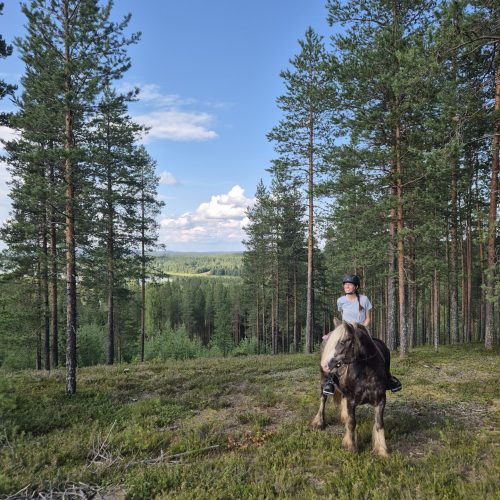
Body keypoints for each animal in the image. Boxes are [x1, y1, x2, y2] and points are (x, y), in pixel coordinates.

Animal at [312, 320, 390, 458]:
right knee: (323, 399)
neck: (367, 371)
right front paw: (351, 447)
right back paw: (319, 423)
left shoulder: (380, 399)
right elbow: (352, 422)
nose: (325, 365)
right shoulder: (351, 400)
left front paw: (382, 450)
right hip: (323, 380)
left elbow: (379, 424)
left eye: (343, 341)